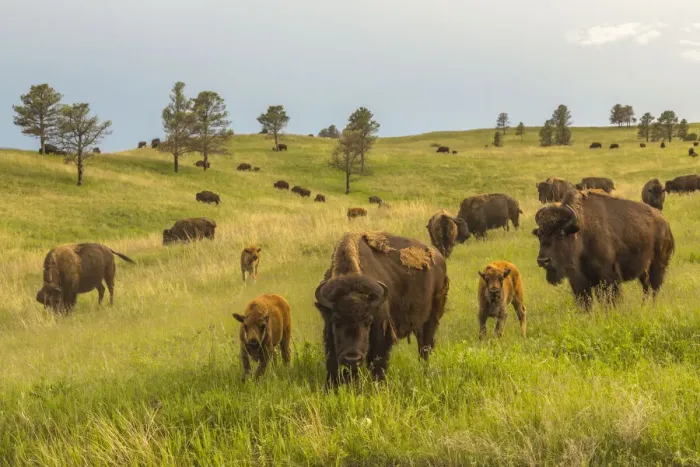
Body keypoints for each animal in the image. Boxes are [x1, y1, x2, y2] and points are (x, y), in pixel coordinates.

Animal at [314, 232, 449, 385]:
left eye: (368, 321)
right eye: (335, 321)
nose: (352, 358)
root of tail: (439, 258)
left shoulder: (382, 335)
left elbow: (378, 363)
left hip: (431, 319)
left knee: (425, 347)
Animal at [533, 189, 674, 309]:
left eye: (561, 234)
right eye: (539, 235)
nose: (543, 260)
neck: (581, 232)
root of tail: (665, 222)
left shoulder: (608, 278)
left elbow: (608, 301)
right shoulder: (579, 282)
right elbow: (586, 304)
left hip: (658, 265)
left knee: (654, 288)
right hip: (643, 270)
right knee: (646, 287)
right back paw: (643, 306)